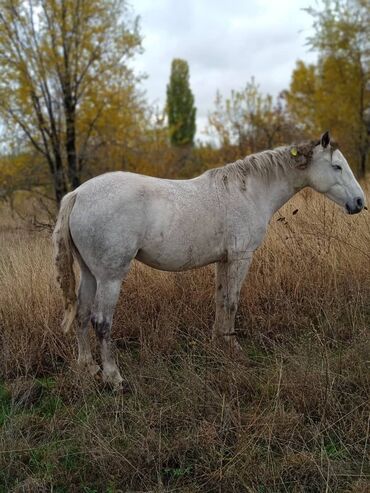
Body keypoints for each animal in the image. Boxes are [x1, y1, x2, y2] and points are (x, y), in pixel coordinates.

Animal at [53, 131, 366, 388]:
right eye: (337, 167)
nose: (360, 203)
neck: (249, 191)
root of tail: (77, 194)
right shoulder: (241, 257)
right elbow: (232, 302)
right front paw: (236, 352)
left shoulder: (223, 261)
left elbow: (220, 301)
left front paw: (220, 344)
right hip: (110, 277)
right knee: (101, 322)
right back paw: (114, 377)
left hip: (90, 274)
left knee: (81, 315)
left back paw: (88, 368)